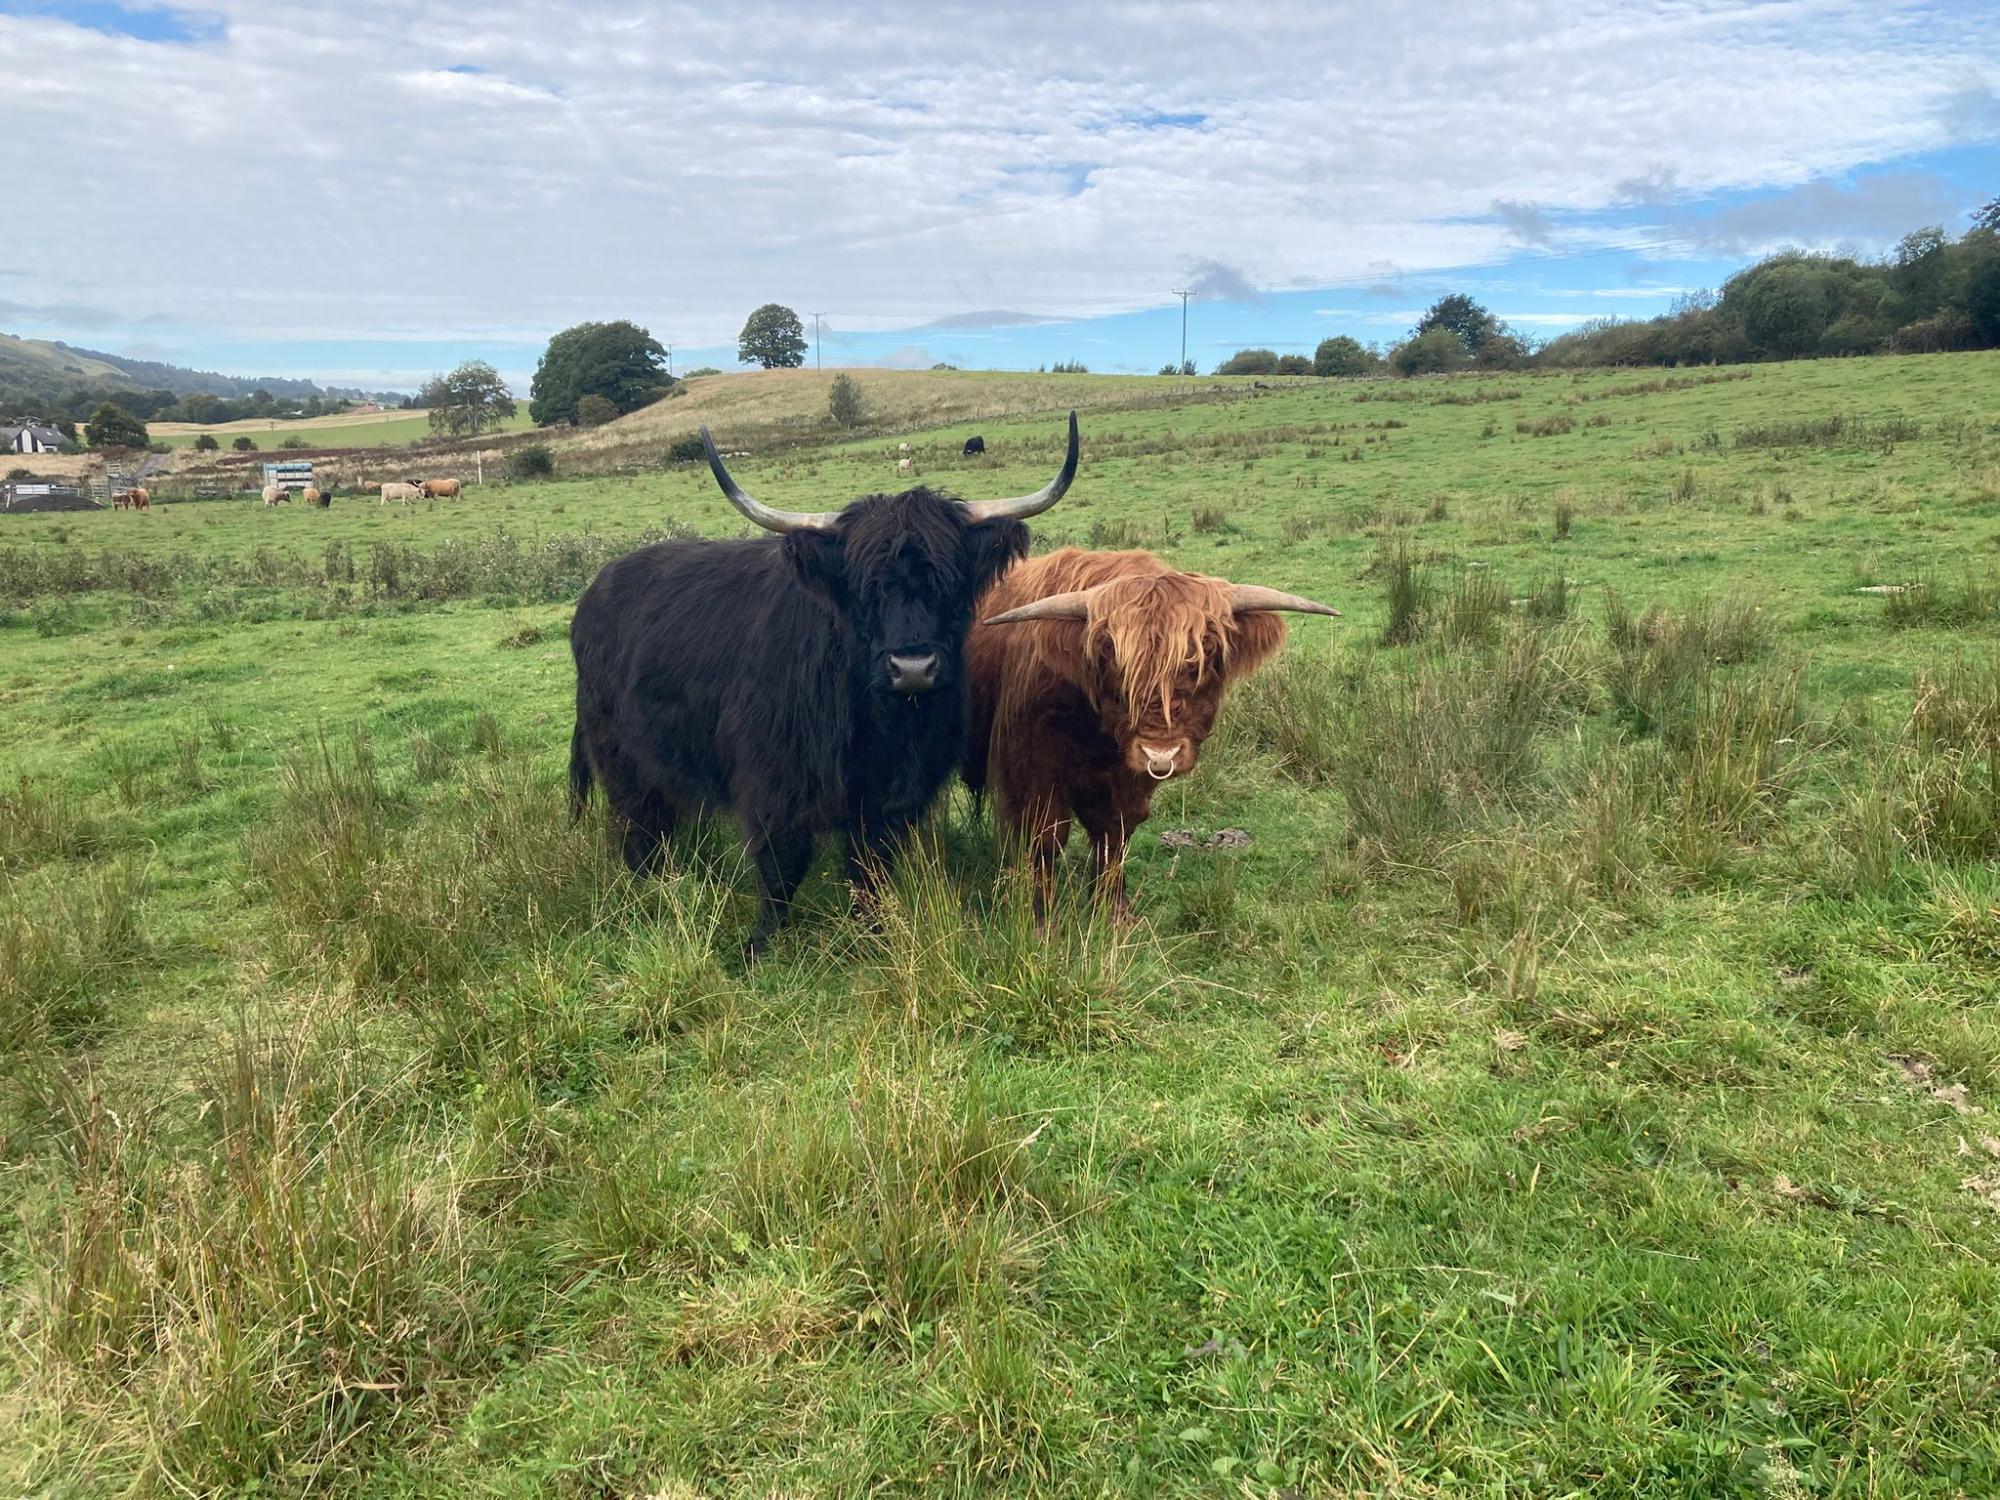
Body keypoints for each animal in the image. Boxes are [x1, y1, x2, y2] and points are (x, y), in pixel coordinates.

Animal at [570, 412, 1080, 960]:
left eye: (952, 581)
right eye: (864, 586)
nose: (913, 667)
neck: (880, 723)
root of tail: (598, 588)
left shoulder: (889, 798)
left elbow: (871, 870)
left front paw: (873, 934)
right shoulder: (773, 787)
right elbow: (781, 869)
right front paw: (759, 945)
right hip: (623, 758)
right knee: (639, 830)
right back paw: (655, 893)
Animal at [967, 548, 1338, 922]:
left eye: (1206, 655)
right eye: (1110, 658)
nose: (1161, 755)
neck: (1097, 735)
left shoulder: (1128, 780)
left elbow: (1114, 835)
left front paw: (1113, 912)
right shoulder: (1030, 767)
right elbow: (1044, 836)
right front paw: (1038, 917)